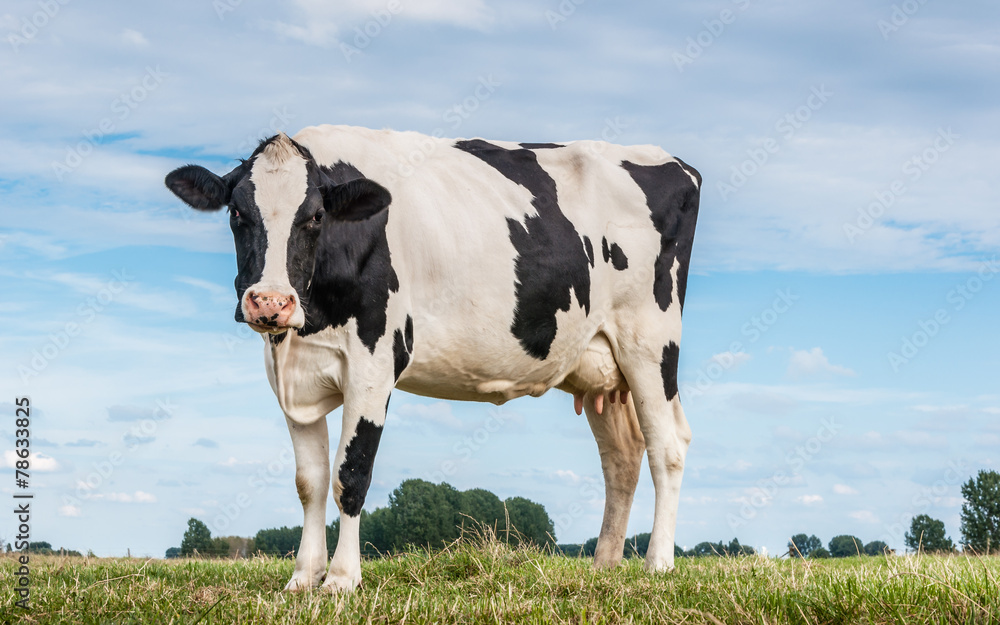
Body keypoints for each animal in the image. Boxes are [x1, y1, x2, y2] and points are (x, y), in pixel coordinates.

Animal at [164, 125, 700, 588]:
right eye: (237, 213)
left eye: (314, 216)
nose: (270, 302)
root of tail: (676, 163)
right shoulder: (294, 377)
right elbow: (310, 482)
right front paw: (302, 579)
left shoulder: (374, 363)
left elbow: (350, 475)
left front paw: (341, 580)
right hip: (600, 362)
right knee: (622, 457)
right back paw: (605, 565)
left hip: (650, 343)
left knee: (667, 446)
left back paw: (659, 563)